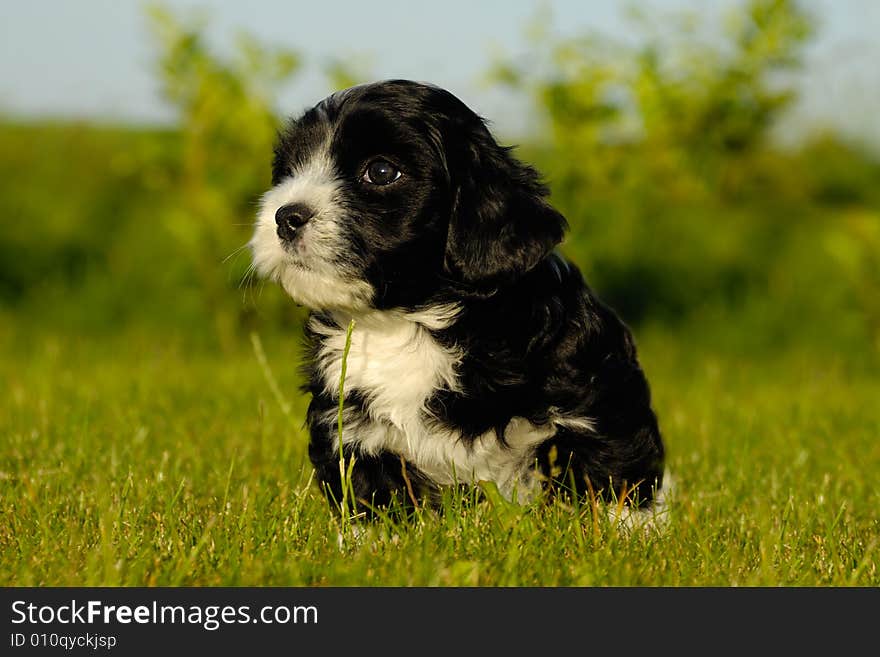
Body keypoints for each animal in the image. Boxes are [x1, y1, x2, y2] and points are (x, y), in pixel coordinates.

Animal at [251, 78, 664, 516]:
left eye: (380, 171)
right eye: (289, 170)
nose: (285, 216)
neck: (409, 322)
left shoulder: (597, 396)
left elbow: (614, 475)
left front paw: (626, 528)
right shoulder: (347, 427)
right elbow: (373, 497)